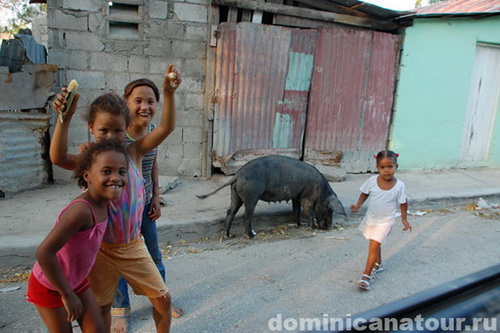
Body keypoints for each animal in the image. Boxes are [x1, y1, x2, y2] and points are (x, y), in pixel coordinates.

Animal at [196, 154, 348, 237]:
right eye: (330, 209)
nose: (329, 227)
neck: (323, 191)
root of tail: (237, 176)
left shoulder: (296, 197)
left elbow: (296, 210)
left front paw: (298, 225)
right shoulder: (308, 198)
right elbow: (308, 211)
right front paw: (313, 227)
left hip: (235, 195)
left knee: (230, 211)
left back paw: (227, 235)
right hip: (251, 195)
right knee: (246, 215)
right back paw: (251, 235)